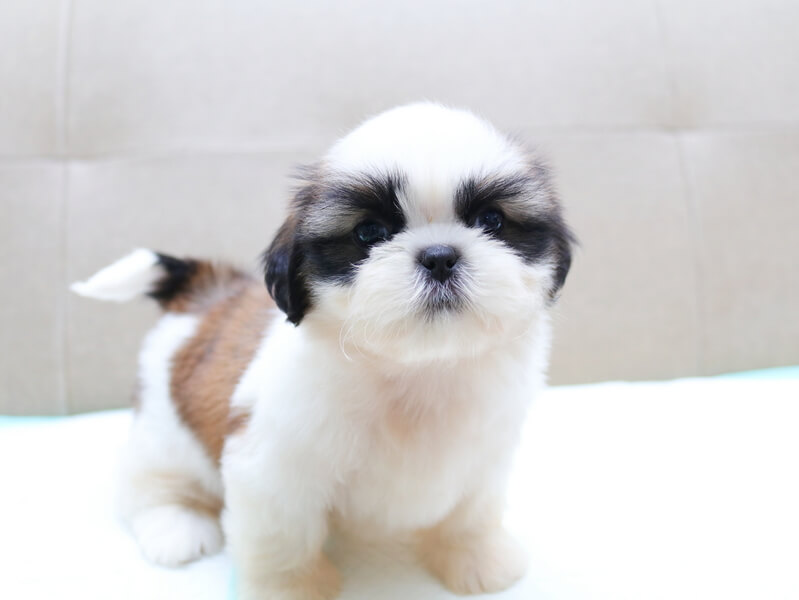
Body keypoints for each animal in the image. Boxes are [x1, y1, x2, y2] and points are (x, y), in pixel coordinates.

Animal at [72, 102, 574, 599]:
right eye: (369, 232)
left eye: (491, 221)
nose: (439, 255)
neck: (417, 368)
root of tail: (209, 293)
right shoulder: (272, 469)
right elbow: (283, 539)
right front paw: (291, 588)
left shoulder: (485, 457)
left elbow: (471, 512)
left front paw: (477, 558)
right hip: (165, 430)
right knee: (149, 481)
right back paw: (174, 523)